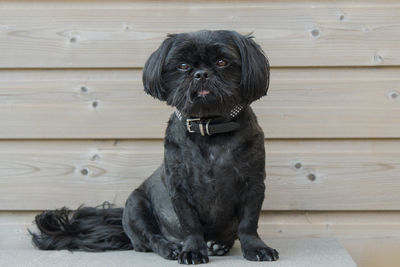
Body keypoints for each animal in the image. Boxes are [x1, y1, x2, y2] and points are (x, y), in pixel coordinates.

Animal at [30, 30, 278, 264]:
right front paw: (192, 251)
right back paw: (172, 247)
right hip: (136, 205)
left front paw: (257, 248)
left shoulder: (253, 184)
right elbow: (191, 225)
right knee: (150, 238)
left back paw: (217, 245)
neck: (209, 127)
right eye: (183, 66)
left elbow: (248, 223)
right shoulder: (180, 189)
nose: (201, 74)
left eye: (222, 62)